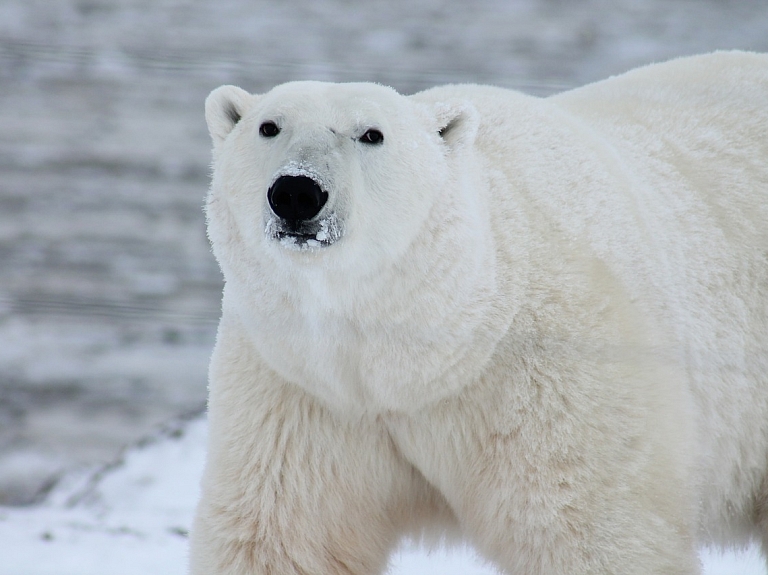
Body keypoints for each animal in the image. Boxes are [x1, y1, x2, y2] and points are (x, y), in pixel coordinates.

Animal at [190, 51, 768, 572]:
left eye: (371, 134)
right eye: (268, 126)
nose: (296, 192)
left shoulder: (553, 379)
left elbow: (590, 530)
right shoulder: (301, 390)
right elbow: (283, 536)